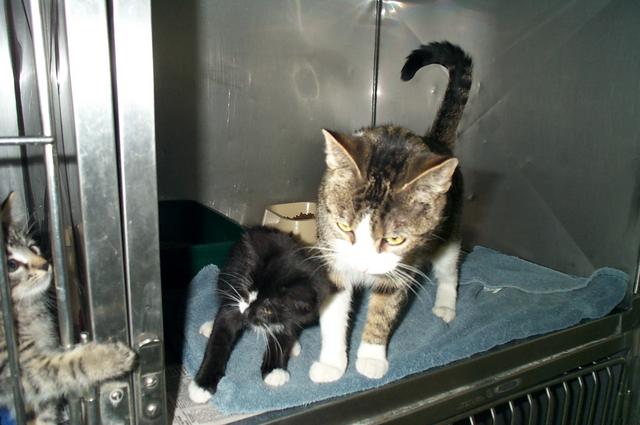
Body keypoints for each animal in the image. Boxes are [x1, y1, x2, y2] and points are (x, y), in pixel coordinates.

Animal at [0, 192, 137, 424]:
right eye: (11, 265)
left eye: (33, 248)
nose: (45, 264)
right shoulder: (16, 375)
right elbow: (62, 367)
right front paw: (106, 357)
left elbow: (43, 414)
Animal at [188, 226, 333, 404]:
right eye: (247, 290)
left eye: (267, 309)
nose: (246, 313)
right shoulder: (236, 293)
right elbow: (220, 335)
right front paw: (202, 384)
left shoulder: (296, 314)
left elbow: (285, 332)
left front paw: (275, 368)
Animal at [309, 41, 473, 383]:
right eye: (344, 227)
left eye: (396, 239)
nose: (363, 264)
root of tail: (436, 142)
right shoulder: (333, 253)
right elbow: (334, 308)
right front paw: (332, 362)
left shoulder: (401, 266)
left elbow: (384, 307)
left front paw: (371, 357)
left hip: (450, 228)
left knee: (449, 267)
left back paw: (446, 306)